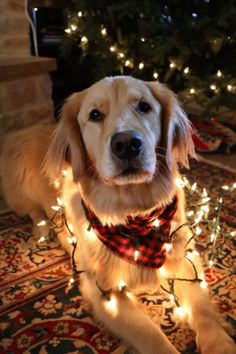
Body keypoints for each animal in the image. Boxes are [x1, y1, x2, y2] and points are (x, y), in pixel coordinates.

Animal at [0, 76, 235, 352]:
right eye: (94, 115)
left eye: (144, 106)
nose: (126, 145)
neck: (135, 217)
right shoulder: (104, 292)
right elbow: (152, 335)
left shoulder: (186, 260)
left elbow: (203, 310)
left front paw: (220, 343)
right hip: (22, 184)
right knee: (31, 209)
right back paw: (42, 228)